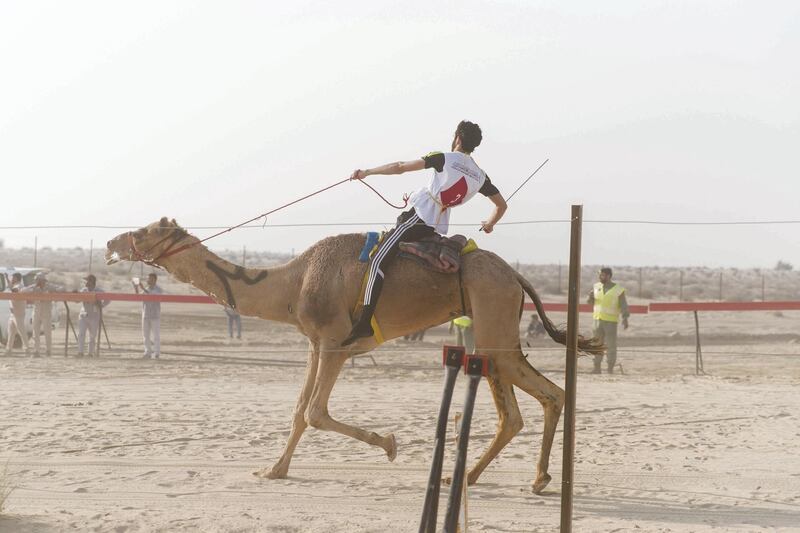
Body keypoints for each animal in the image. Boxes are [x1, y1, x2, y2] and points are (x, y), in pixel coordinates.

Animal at [104, 218, 600, 492]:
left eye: (146, 230)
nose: (111, 243)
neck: (293, 282)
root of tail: (515, 275)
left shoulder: (335, 342)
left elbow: (315, 412)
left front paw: (390, 444)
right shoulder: (314, 344)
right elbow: (298, 411)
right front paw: (274, 470)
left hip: (494, 317)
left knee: (544, 392)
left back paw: (530, 479)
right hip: (488, 327)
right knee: (517, 408)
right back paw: (492, 479)